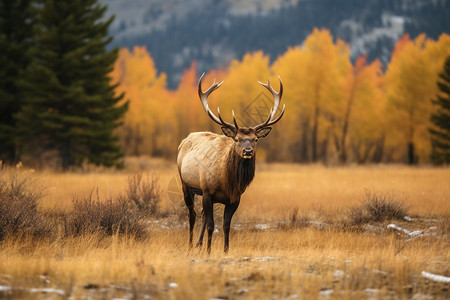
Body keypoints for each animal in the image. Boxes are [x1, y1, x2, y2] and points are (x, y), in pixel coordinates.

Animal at [177, 73, 284, 253]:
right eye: (237, 139)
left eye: (255, 139)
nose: (247, 151)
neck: (228, 182)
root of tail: (185, 139)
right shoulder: (207, 191)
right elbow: (211, 226)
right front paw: (209, 251)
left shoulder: (235, 198)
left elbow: (226, 226)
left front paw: (226, 250)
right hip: (186, 184)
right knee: (192, 214)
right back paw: (191, 244)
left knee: (203, 215)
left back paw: (199, 243)